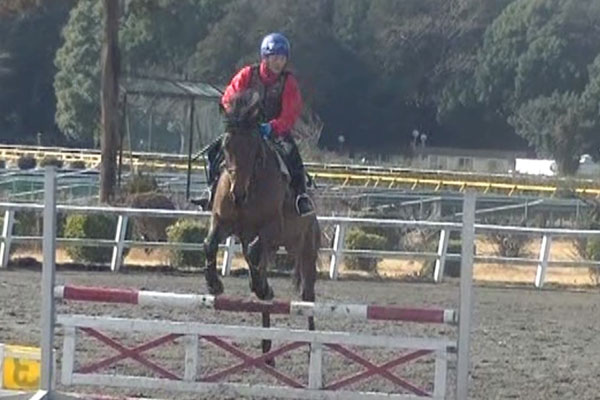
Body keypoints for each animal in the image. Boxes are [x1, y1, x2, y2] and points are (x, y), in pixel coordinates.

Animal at [203, 89, 320, 360]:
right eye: (226, 147)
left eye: (255, 149)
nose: (238, 194)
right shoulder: (222, 222)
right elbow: (209, 244)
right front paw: (214, 283)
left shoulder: (272, 229)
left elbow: (255, 249)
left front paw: (259, 286)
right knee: (261, 282)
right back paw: (267, 349)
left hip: (305, 248)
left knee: (307, 295)